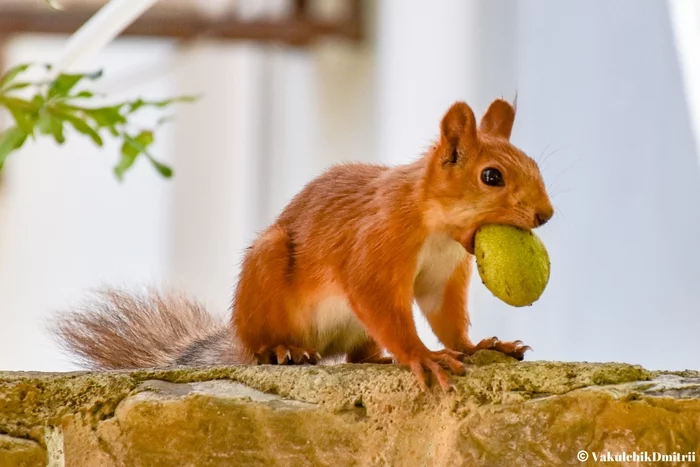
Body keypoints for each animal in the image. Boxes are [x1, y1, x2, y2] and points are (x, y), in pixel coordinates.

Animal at [53, 98, 552, 392]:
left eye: (533, 163)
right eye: (491, 176)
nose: (545, 214)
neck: (437, 226)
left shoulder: (444, 276)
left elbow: (446, 317)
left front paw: (477, 345)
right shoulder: (378, 243)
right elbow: (378, 298)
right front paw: (422, 357)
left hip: (353, 330)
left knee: (354, 353)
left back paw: (373, 356)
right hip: (267, 271)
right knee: (264, 345)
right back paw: (282, 351)